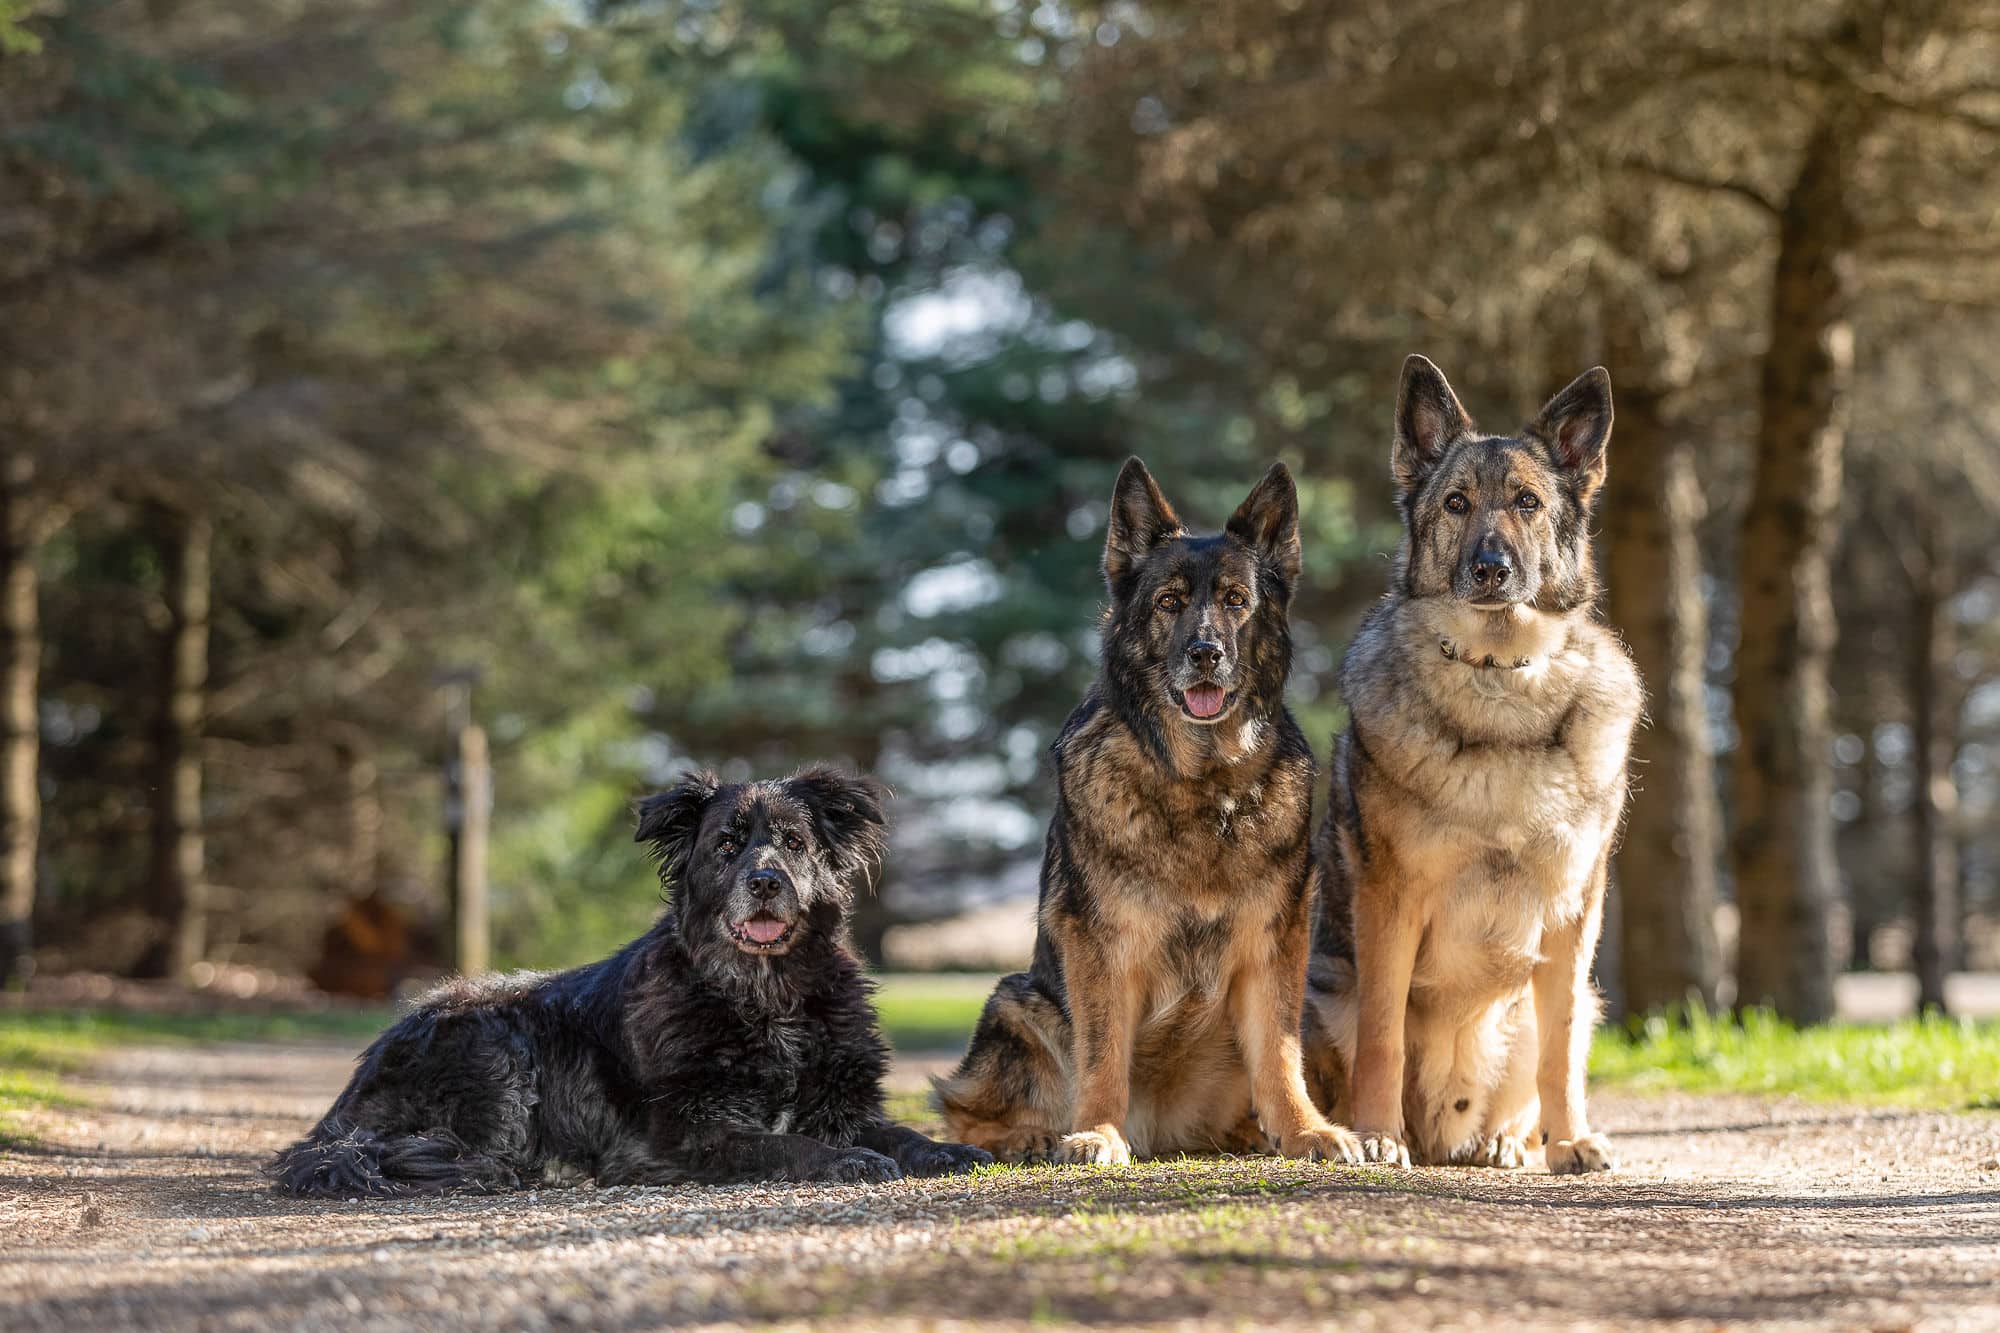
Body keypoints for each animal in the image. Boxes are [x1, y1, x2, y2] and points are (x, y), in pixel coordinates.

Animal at [270, 764, 988, 1184]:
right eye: (727, 845)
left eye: (794, 843)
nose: (765, 881)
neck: (763, 996)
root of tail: (339, 1118)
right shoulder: (685, 1132)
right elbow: (780, 1145)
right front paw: (844, 1160)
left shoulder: (841, 1102)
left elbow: (898, 1130)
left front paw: (947, 1150)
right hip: (489, 1044)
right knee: (469, 1155)